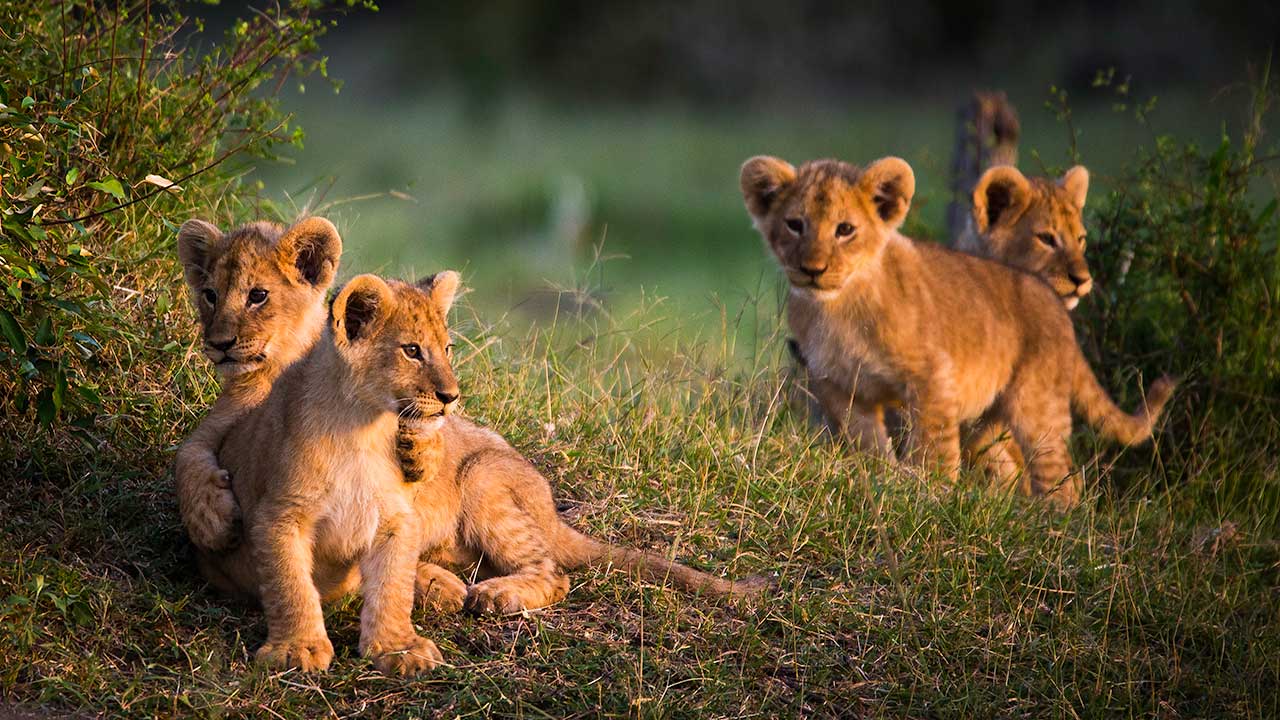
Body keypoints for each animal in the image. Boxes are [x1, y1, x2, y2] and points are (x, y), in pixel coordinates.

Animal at [741, 155, 1174, 507]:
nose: (812, 269)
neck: (838, 308)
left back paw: (1053, 522)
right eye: (795, 225)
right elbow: (869, 445)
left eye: (845, 229)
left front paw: (930, 495)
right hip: (991, 419)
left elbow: (934, 449)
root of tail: (1053, 302)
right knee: (1010, 467)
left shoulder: (933, 377)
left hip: (1036, 404)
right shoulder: (840, 387)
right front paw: (886, 481)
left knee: (1059, 476)